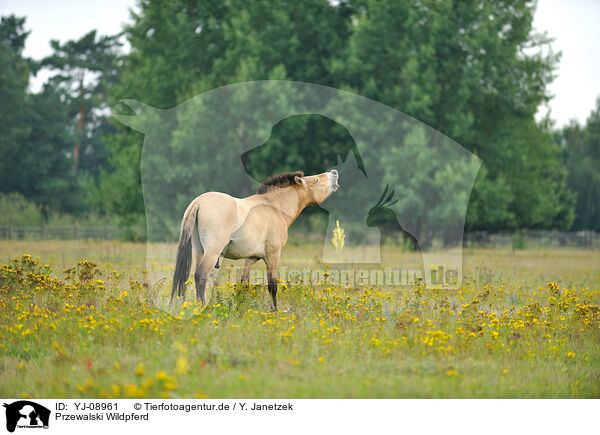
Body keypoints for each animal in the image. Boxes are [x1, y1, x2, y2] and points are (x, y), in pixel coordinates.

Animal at [171, 169, 340, 310]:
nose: (334, 172)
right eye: (316, 180)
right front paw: (274, 311)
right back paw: (203, 308)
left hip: (199, 251)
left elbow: (244, 284)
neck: (274, 207)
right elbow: (272, 285)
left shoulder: (250, 258)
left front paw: (240, 309)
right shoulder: (273, 255)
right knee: (200, 276)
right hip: (212, 253)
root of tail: (199, 202)